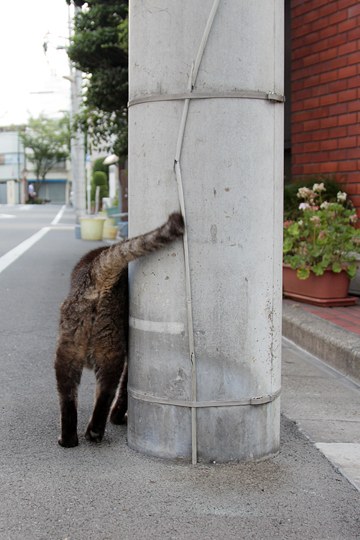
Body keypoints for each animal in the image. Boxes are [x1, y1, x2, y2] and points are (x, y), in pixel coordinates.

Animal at [54, 211, 184, 448]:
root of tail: (96, 275)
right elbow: (124, 391)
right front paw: (118, 418)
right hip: (107, 348)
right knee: (104, 393)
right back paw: (91, 433)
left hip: (72, 350)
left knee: (73, 396)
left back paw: (74, 438)